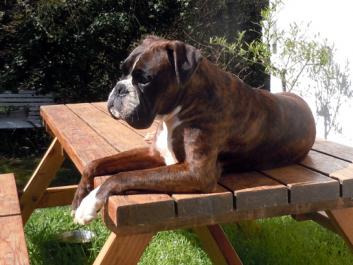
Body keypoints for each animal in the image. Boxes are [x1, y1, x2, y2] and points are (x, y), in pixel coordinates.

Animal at [71, 35, 314, 223]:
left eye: (145, 79)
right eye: (122, 72)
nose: (119, 88)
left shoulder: (196, 172)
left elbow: (121, 176)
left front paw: (90, 203)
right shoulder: (155, 154)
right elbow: (96, 163)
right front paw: (79, 198)